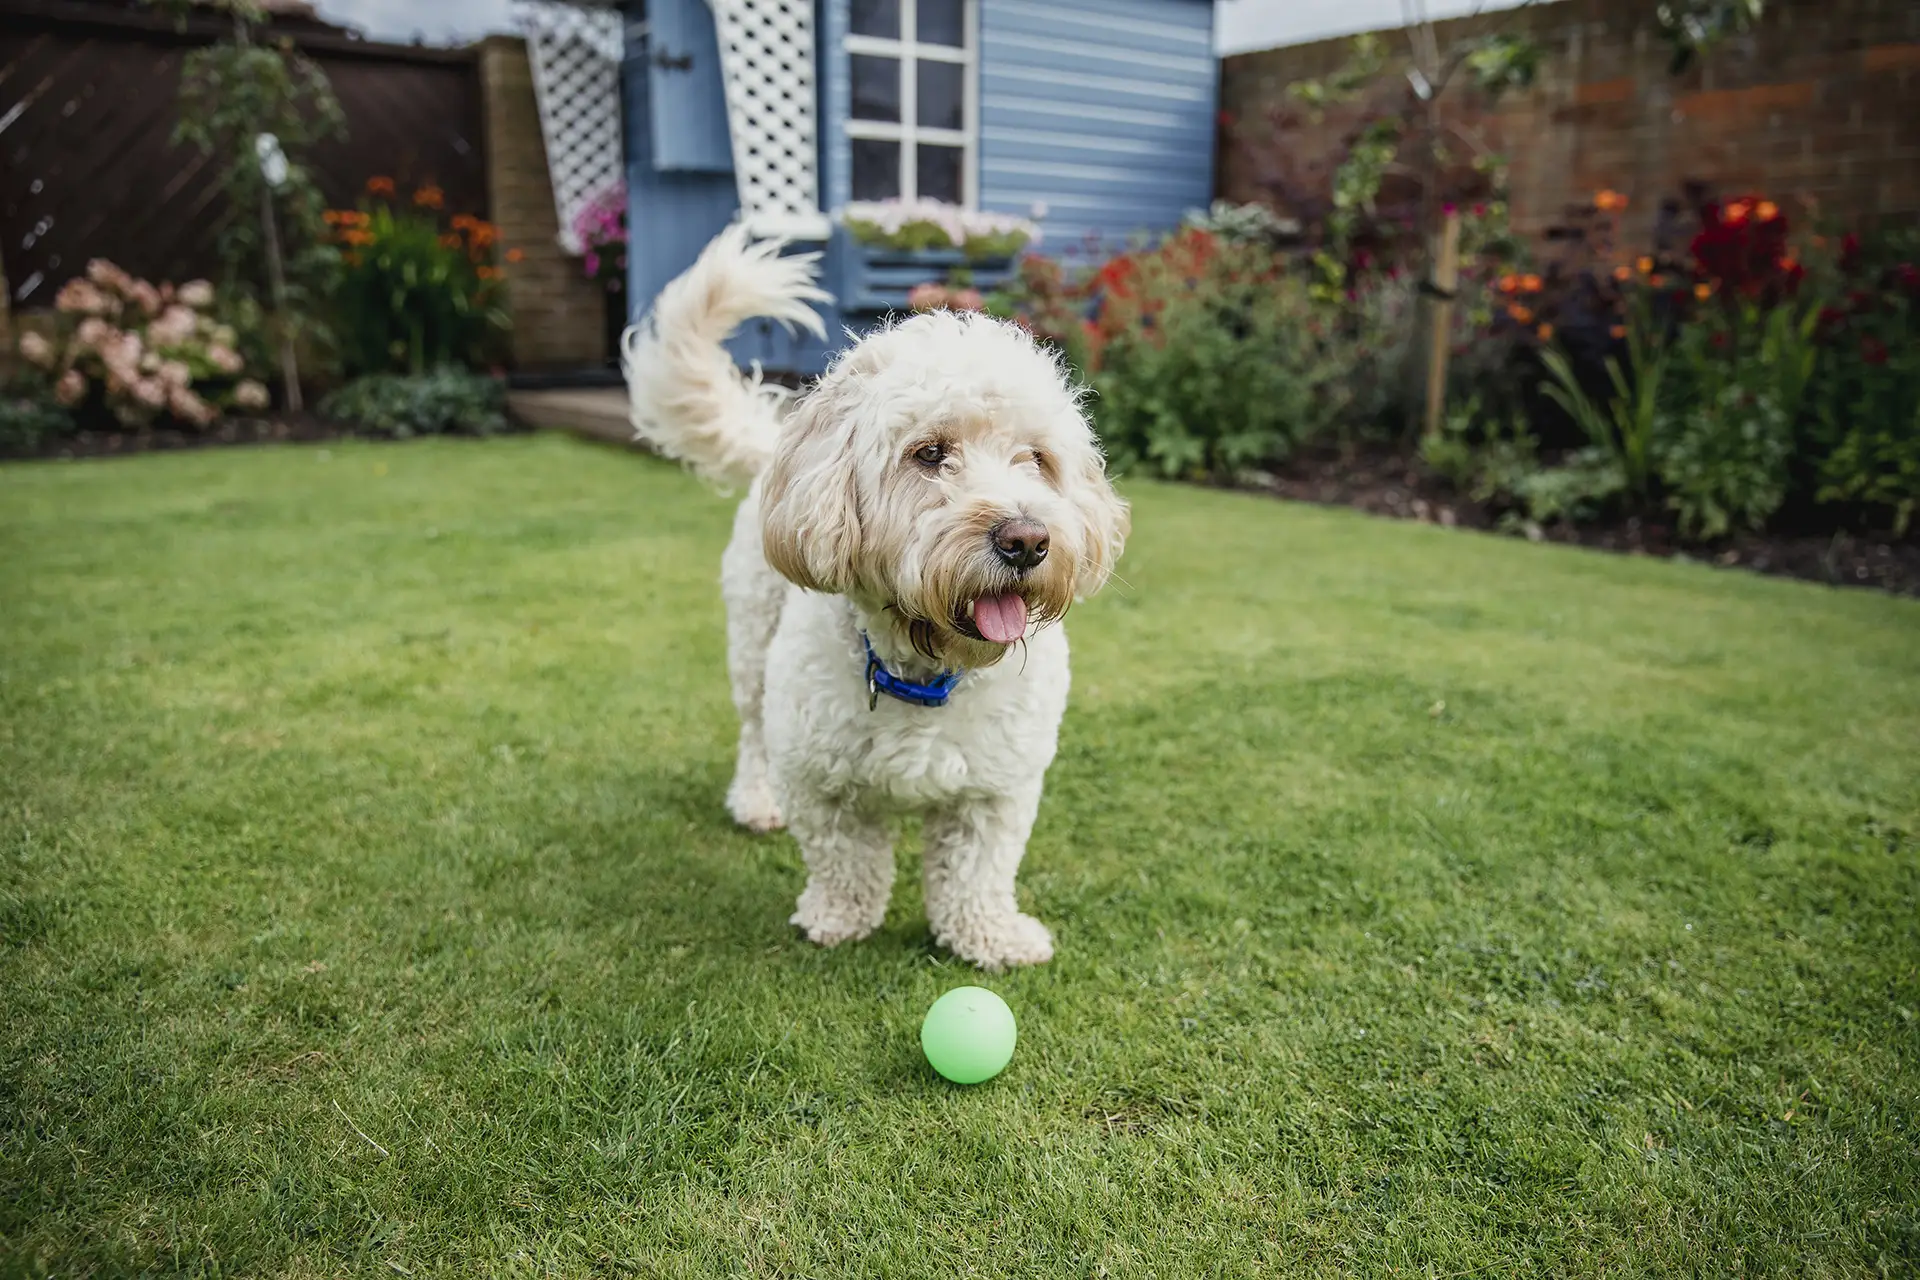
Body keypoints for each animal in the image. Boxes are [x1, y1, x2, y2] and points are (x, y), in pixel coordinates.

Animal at [622, 227, 1121, 971]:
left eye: (1036, 459)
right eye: (930, 453)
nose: (1026, 540)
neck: (928, 670)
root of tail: (779, 445)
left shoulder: (997, 790)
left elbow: (977, 871)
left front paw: (989, 936)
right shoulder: (820, 778)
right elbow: (845, 858)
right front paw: (838, 918)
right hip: (753, 649)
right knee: (752, 733)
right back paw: (756, 799)